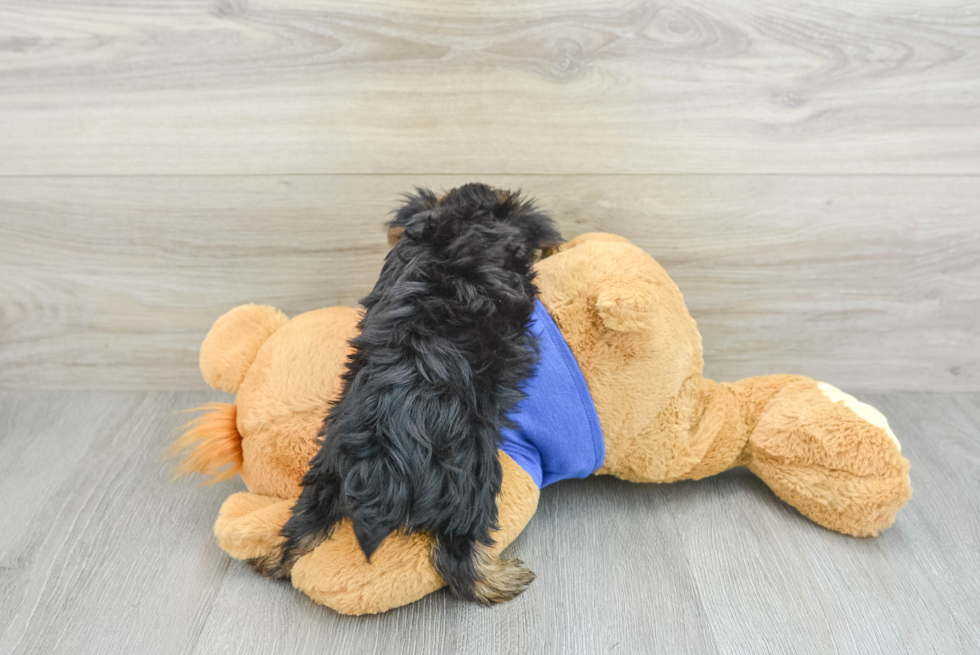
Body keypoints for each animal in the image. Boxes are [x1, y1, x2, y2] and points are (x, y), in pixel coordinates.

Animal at [253, 183, 560, 604]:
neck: (461, 221)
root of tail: (384, 454)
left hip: (328, 466)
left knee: (306, 522)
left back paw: (275, 561)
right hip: (473, 474)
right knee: (457, 554)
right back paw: (497, 580)